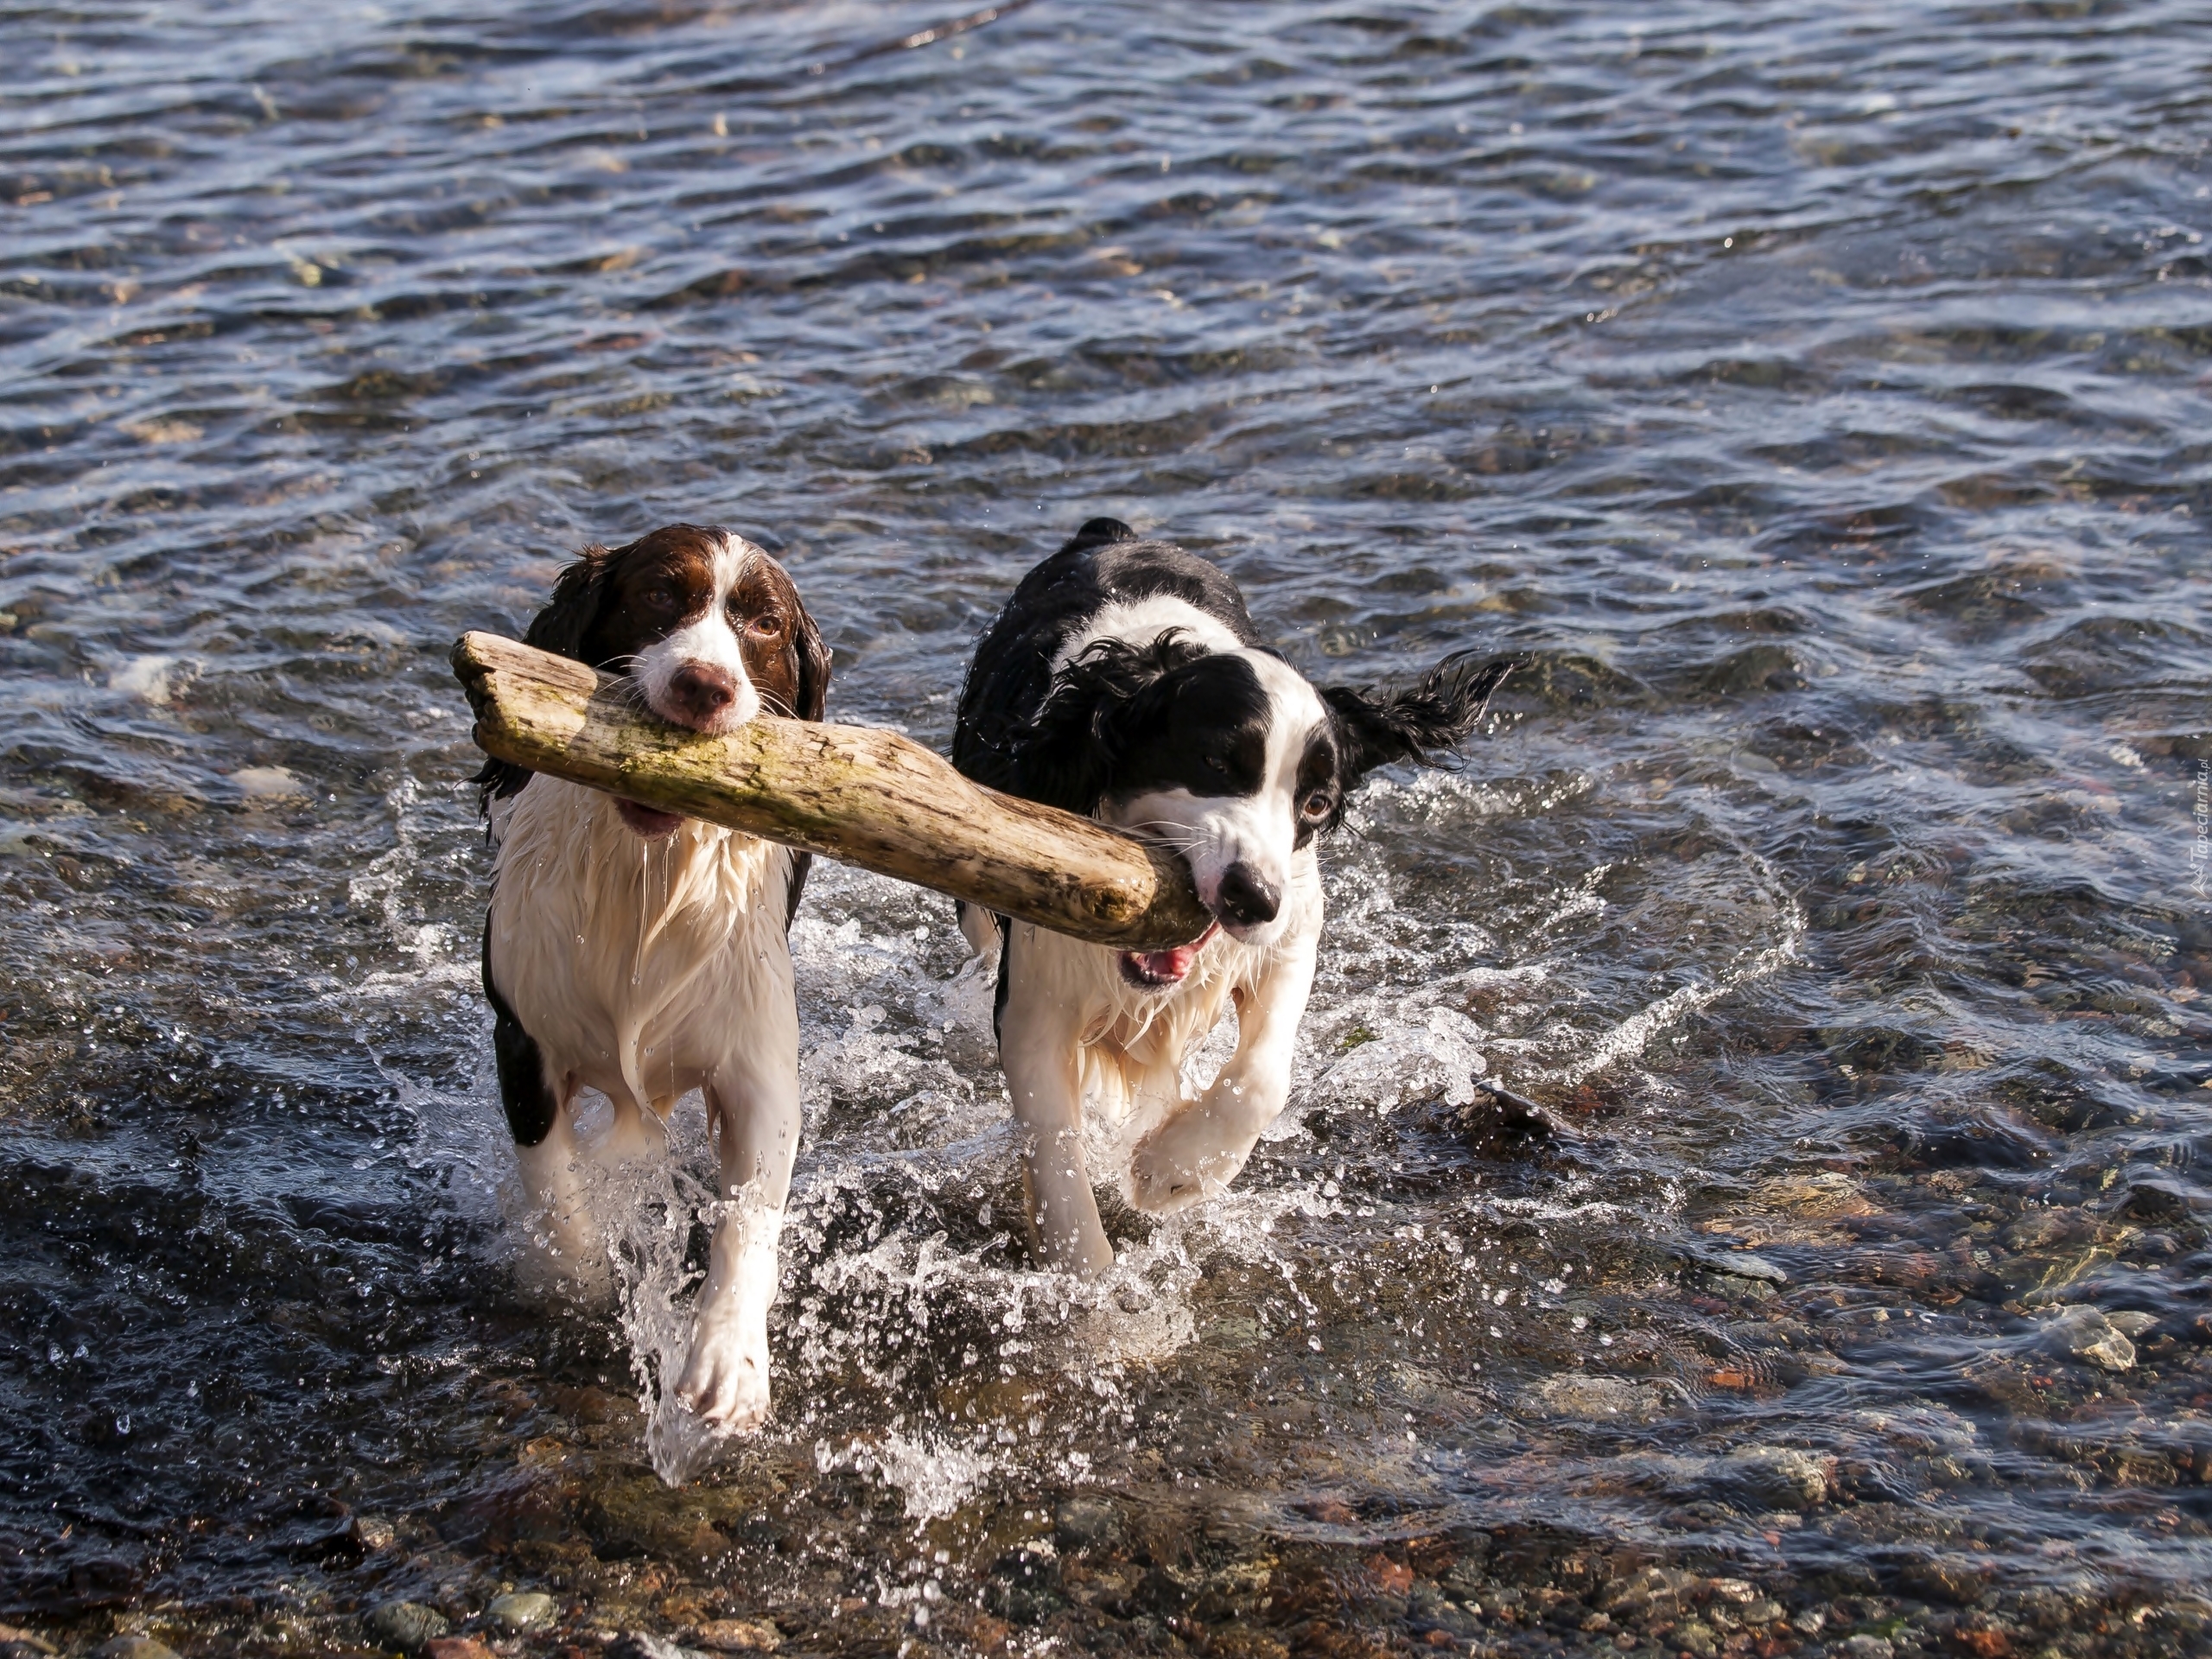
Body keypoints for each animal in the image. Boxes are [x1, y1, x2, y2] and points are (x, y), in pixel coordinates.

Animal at [475, 526, 831, 1433]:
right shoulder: (522, 1039)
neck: (646, 876)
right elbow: (554, 1189)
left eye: (765, 625)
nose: (706, 686)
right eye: (661, 595)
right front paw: (575, 1285)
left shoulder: (757, 1066)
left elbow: (750, 1219)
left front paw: (729, 1363)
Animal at [946, 519, 1503, 1274]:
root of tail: (1110, 531)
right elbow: (1055, 1153)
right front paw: (1090, 1282)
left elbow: (1262, 1079)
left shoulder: (1294, 930)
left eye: (1317, 803)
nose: (1251, 898)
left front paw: (1174, 1171)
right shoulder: (1037, 997)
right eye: (1213, 760)